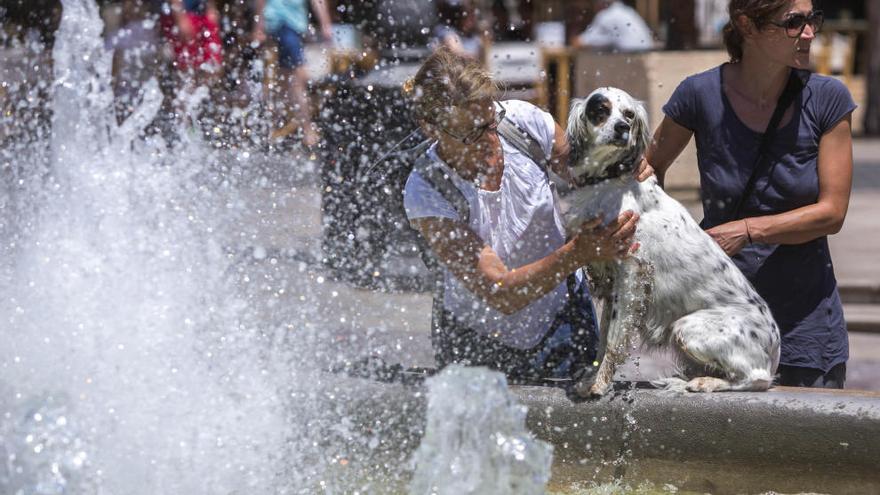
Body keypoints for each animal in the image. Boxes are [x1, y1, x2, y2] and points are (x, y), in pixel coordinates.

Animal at [560, 87, 780, 400]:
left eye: (629, 114)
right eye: (600, 109)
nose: (622, 128)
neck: (608, 180)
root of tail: (775, 348)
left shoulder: (631, 271)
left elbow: (613, 338)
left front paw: (599, 384)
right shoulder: (614, 279)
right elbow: (603, 339)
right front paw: (592, 377)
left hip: (688, 327)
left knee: (756, 378)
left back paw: (704, 382)